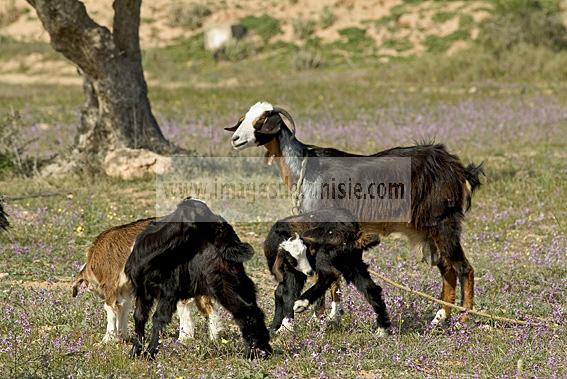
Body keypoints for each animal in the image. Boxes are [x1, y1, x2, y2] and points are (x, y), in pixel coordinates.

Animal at [126, 197, 272, 360]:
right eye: (203, 212)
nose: (220, 224)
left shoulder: (169, 292)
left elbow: (158, 318)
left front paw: (150, 353)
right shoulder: (141, 290)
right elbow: (139, 317)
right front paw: (134, 352)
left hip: (222, 283)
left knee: (245, 311)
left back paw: (253, 353)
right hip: (239, 281)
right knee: (253, 309)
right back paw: (263, 349)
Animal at [264, 208, 384, 336]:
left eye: (307, 251)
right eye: (292, 260)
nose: (310, 272)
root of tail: (351, 231)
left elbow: (288, 294)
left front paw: (286, 326)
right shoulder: (289, 270)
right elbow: (281, 292)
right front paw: (276, 327)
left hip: (329, 255)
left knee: (330, 275)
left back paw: (308, 307)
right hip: (352, 261)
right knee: (368, 287)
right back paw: (381, 330)